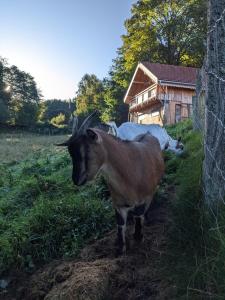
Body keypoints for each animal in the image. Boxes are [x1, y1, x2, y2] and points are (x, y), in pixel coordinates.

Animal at [57, 113, 164, 254]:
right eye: (70, 152)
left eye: (86, 149)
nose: (76, 179)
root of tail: (147, 134)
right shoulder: (118, 204)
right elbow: (120, 224)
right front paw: (121, 248)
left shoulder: (142, 200)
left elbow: (138, 217)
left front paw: (138, 237)